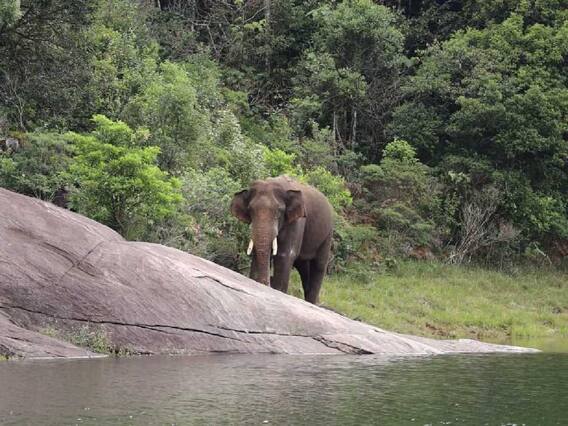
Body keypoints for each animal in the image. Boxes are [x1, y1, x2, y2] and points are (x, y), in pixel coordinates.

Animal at [230, 175, 334, 304]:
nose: (267, 281)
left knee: (319, 265)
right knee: (304, 269)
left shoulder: (296, 222)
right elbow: (257, 253)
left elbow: (284, 256)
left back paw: (311, 302)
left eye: (279, 211)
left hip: (327, 235)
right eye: (250, 210)